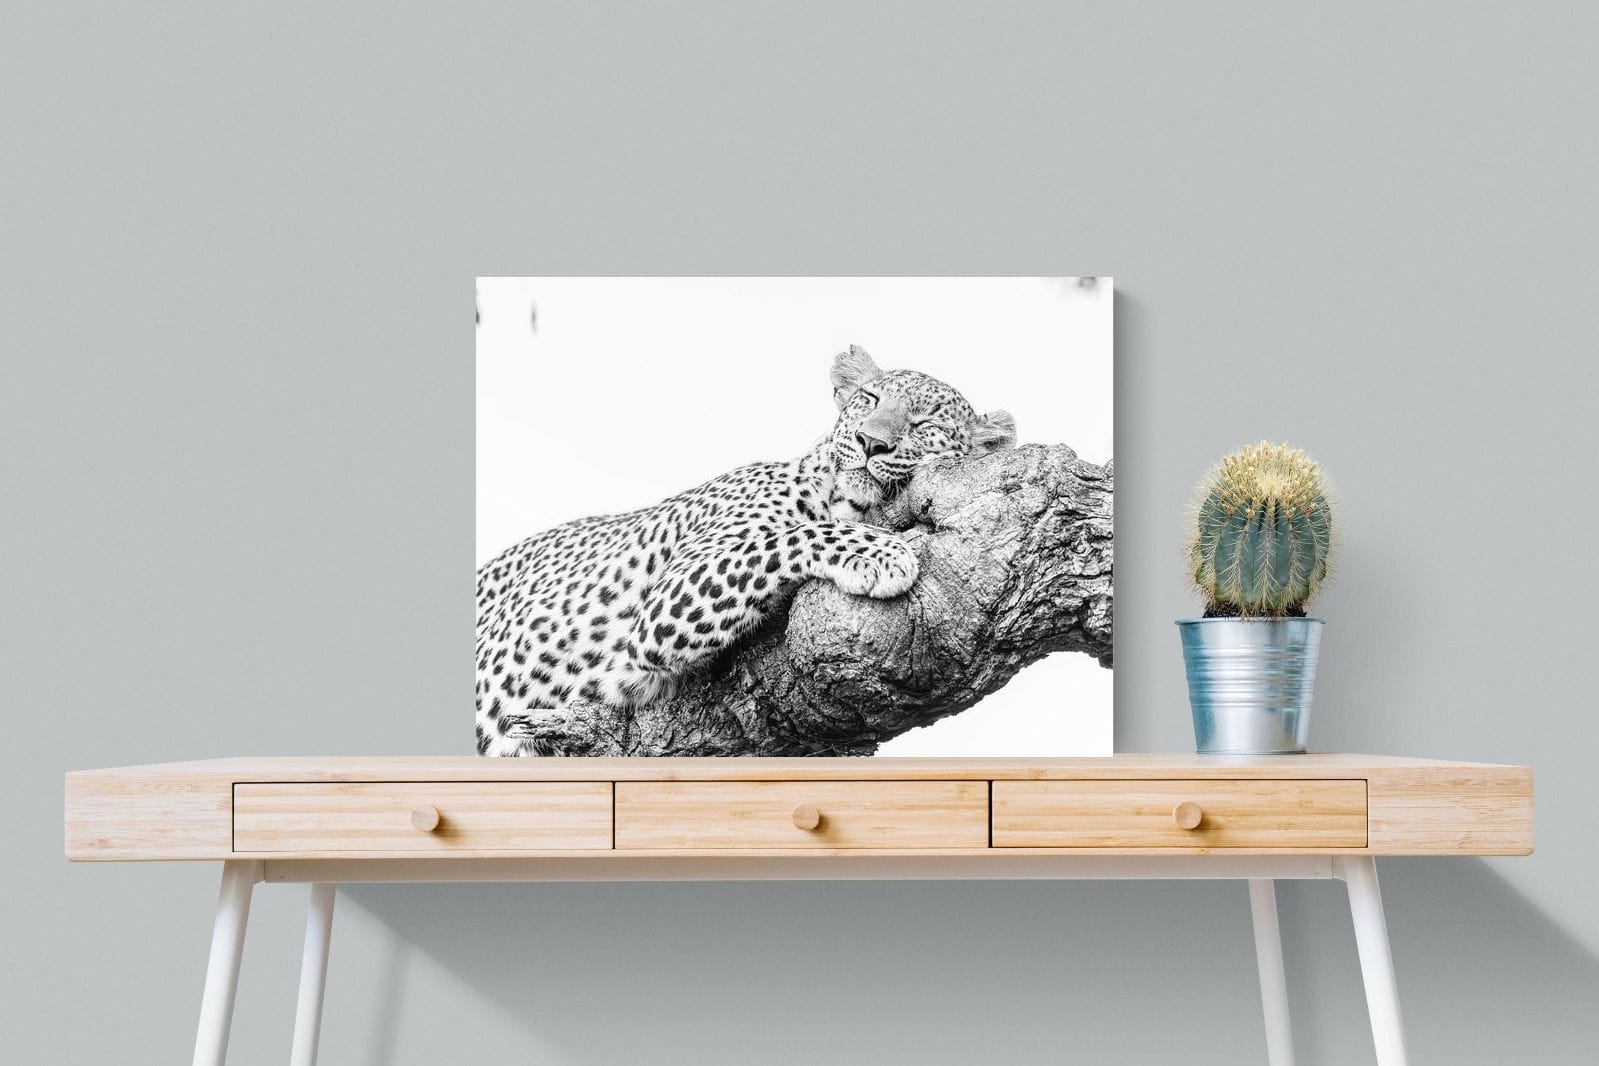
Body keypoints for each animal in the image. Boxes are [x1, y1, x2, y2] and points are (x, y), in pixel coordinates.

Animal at [474, 345, 1016, 756]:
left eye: (925, 423)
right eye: (870, 398)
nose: (870, 442)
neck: (843, 497)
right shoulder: (665, 604)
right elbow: (789, 536)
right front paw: (883, 553)